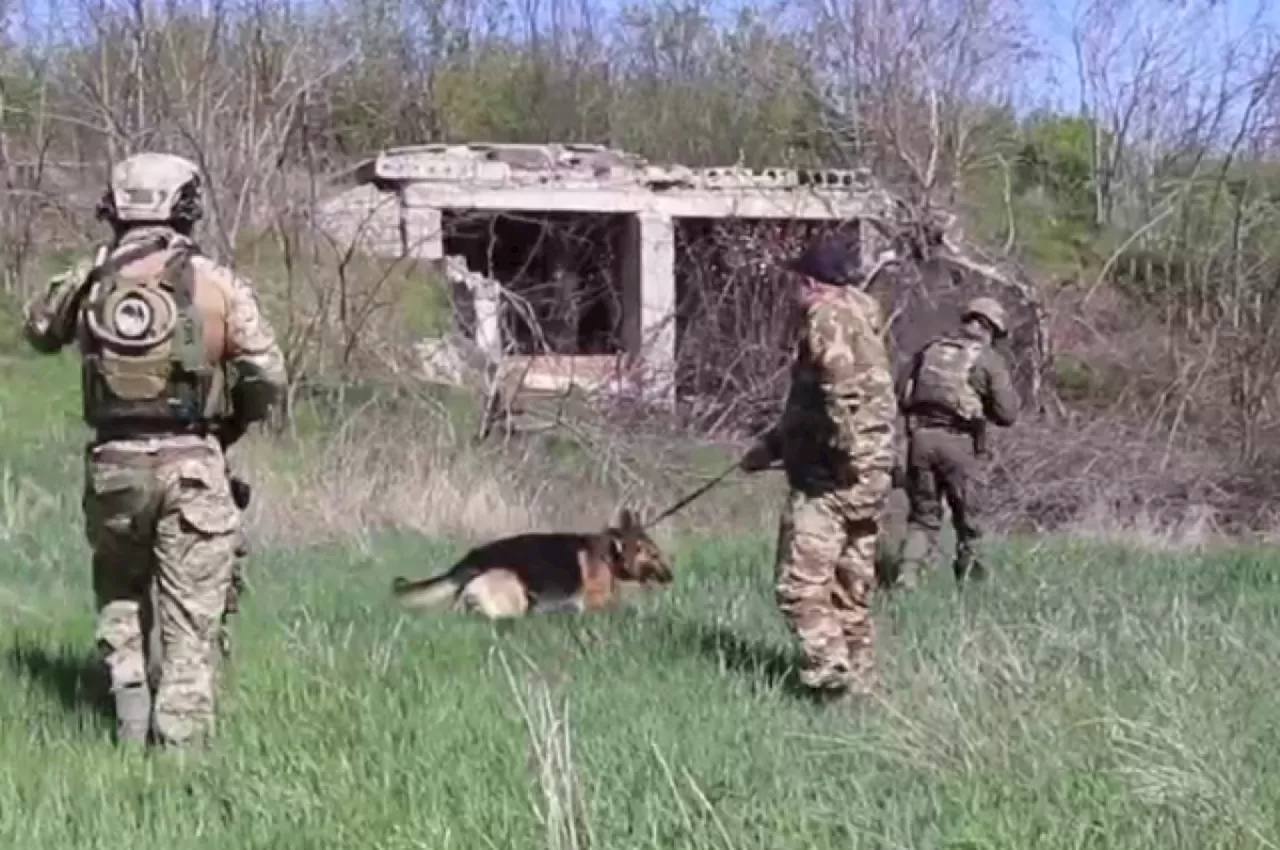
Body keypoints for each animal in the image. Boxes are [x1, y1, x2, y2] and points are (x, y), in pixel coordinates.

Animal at [386, 504, 670, 617]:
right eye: (655, 555)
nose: (671, 576)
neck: (611, 552)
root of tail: (466, 563)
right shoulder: (597, 602)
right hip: (512, 588)